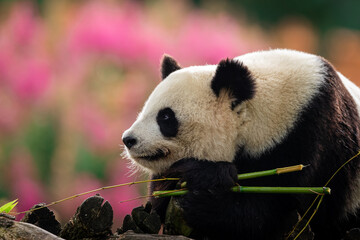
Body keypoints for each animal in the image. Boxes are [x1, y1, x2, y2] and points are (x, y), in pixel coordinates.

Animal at [122, 49, 360, 240]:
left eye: (166, 117)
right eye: (145, 110)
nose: (129, 140)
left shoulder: (309, 135)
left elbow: (282, 207)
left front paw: (203, 195)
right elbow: (157, 200)